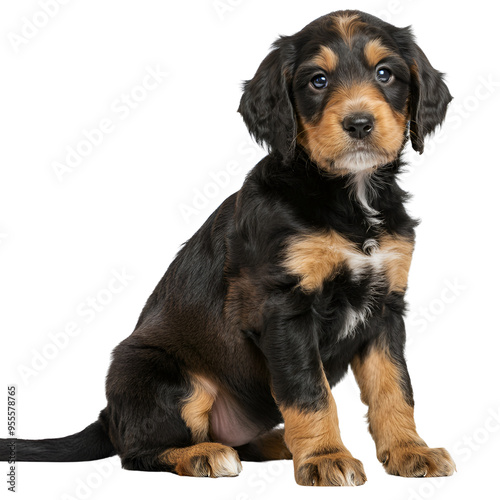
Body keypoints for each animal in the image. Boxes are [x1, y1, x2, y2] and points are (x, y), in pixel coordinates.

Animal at [0, 9, 456, 486]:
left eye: (385, 73)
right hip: (163, 375)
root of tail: (109, 415)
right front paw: (325, 457)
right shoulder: (284, 307)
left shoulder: (386, 306)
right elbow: (309, 390)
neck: (348, 198)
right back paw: (205, 456)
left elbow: (394, 387)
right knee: (140, 451)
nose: (360, 124)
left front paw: (409, 451)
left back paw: (279, 443)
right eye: (317, 80)